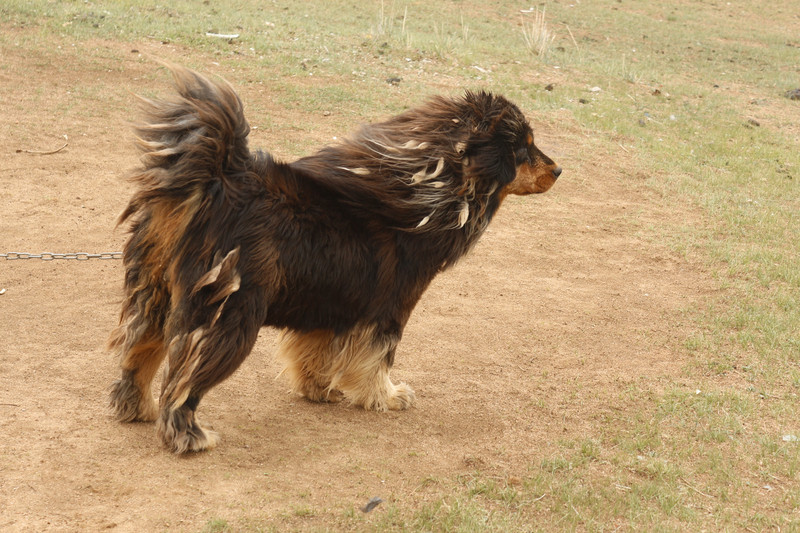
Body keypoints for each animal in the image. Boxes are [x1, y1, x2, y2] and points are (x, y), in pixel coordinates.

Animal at [108, 63, 564, 454]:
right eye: (523, 149)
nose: (559, 170)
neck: (426, 187)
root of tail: (216, 180)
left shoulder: (334, 302)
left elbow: (317, 353)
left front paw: (319, 389)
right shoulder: (390, 306)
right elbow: (376, 359)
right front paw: (386, 397)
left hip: (153, 294)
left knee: (137, 355)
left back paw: (136, 408)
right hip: (229, 312)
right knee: (184, 379)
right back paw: (188, 435)